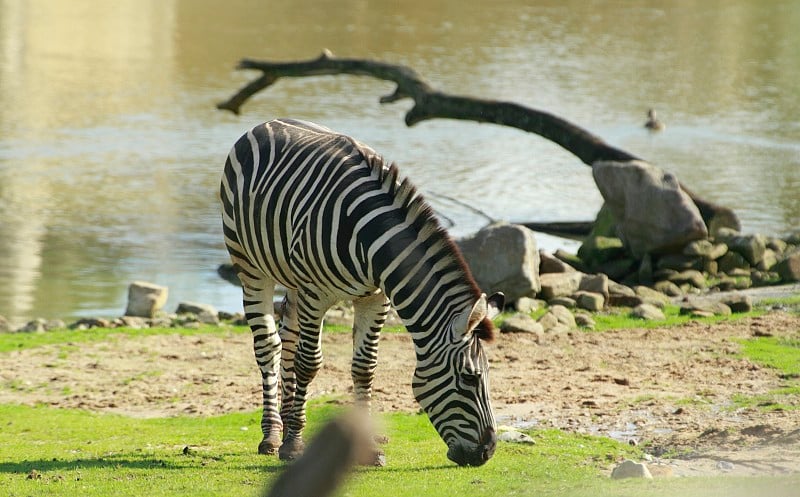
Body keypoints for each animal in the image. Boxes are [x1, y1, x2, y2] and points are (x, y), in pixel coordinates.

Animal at [219, 118, 504, 466]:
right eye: (469, 378)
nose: (487, 452)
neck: (371, 240)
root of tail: (267, 122)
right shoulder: (316, 295)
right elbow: (309, 364)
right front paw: (294, 444)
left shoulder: (375, 298)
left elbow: (364, 368)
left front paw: (367, 448)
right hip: (250, 267)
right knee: (268, 346)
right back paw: (273, 435)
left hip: (294, 279)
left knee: (288, 336)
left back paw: (285, 422)